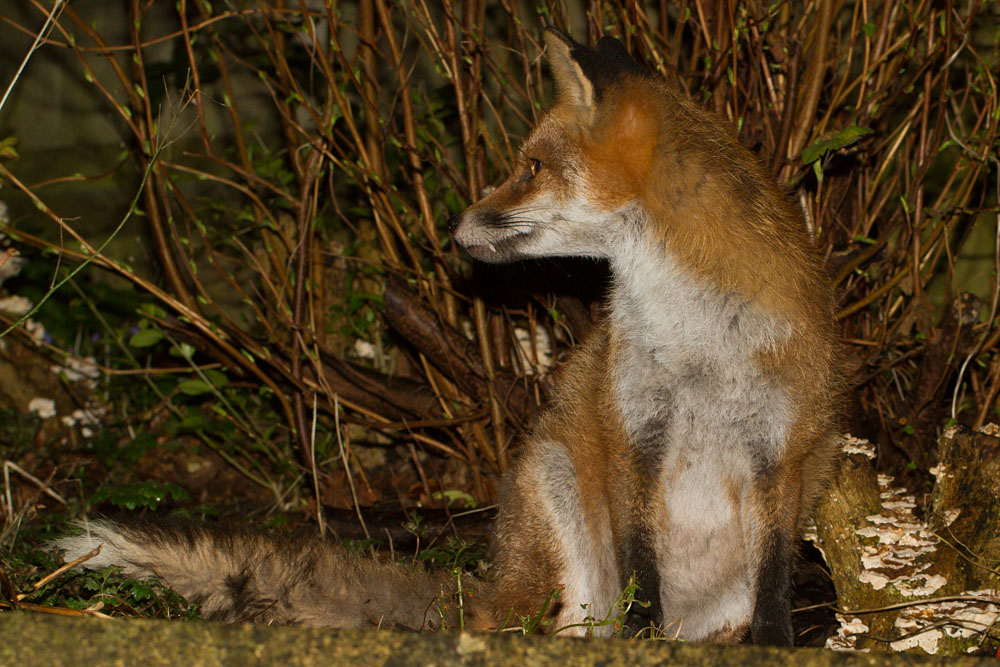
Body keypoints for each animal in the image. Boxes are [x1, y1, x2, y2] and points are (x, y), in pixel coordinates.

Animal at [54, 28, 839, 645]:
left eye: (531, 167)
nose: (454, 225)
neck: (696, 342)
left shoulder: (786, 447)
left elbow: (774, 578)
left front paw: (775, 645)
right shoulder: (633, 432)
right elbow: (642, 568)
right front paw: (645, 641)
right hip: (557, 491)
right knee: (551, 626)